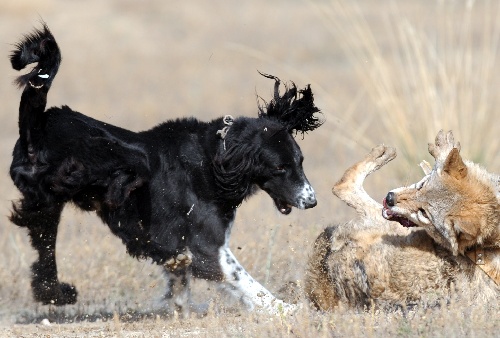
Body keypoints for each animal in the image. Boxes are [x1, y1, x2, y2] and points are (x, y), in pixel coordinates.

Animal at [9, 25, 324, 316]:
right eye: (280, 167)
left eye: (300, 162)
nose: (312, 201)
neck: (217, 161)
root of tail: (39, 124)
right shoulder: (207, 248)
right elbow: (245, 281)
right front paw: (288, 309)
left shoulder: (181, 248)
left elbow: (180, 279)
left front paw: (183, 308)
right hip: (65, 187)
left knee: (43, 255)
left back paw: (56, 293)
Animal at [304, 131, 500, 310]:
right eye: (422, 186)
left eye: (424, 213)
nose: (389, 198)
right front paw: (444, 147)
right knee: (343, 185)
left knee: (342, 186)